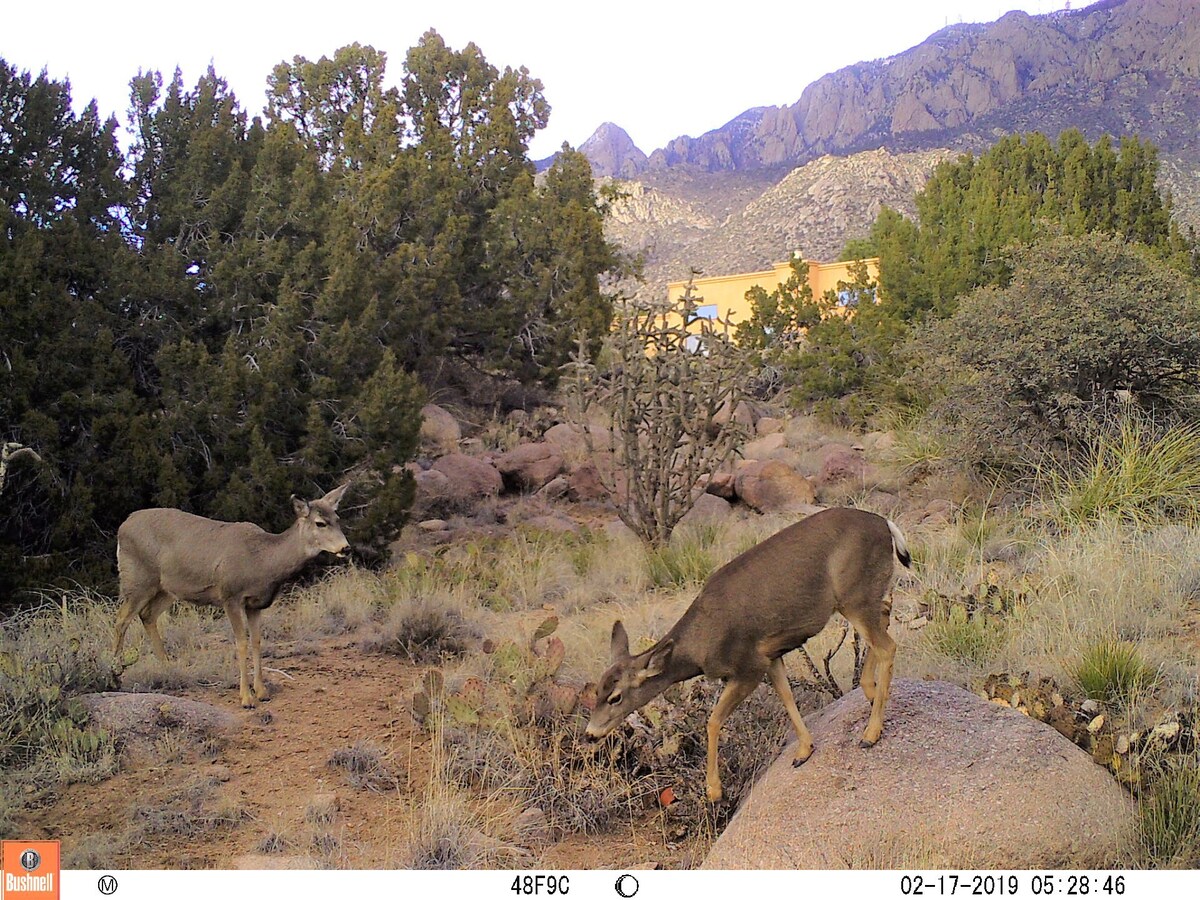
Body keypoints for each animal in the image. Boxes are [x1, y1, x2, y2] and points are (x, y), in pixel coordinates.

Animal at [112, 487, 350, 710]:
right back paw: (115, 675)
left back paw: (168, 668)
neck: (263, 560)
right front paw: (246, 698)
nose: (346, 548)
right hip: (138, 578)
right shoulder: (230, 596)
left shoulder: (256, 604)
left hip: (167, 588)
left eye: (337, 519)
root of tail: (123, 525)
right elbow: (241, 642)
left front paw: (262, 692)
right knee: (121, 619)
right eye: (320, 523)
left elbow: (256, 640)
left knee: (147, 615)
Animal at [583, 508, 907, 801]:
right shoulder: (770, 656)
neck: (699, 645)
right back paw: (871, 693)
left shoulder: (747, 665)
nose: (590, 734)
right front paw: (804, 750)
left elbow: (713, 720)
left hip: (853, 595)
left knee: (887, 645)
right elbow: (786, 697)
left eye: (616, 697)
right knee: (886, 615)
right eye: (597, 691)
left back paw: (870, 733)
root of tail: (886, 524)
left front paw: (714, 791)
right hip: (865, 595)